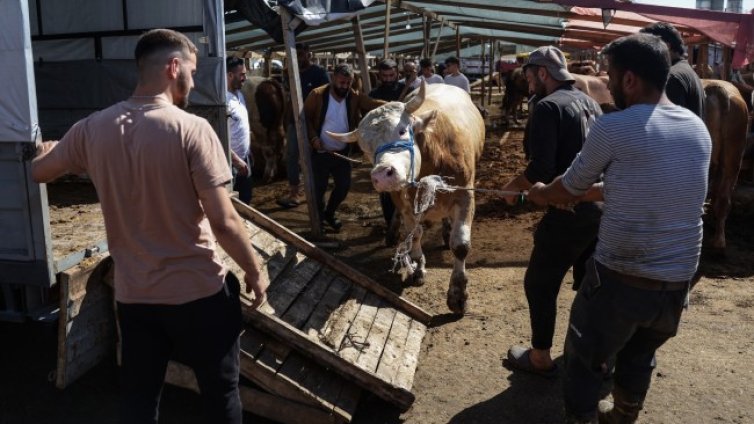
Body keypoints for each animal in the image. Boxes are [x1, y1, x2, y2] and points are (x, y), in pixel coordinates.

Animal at [326, 82, 484, 314]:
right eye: (365, 148)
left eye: (401, 130)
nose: (382, 174)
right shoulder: (404, 203)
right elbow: (414, 236)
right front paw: (417, 269)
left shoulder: (465, 196)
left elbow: (461, 245)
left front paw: (458, 295)